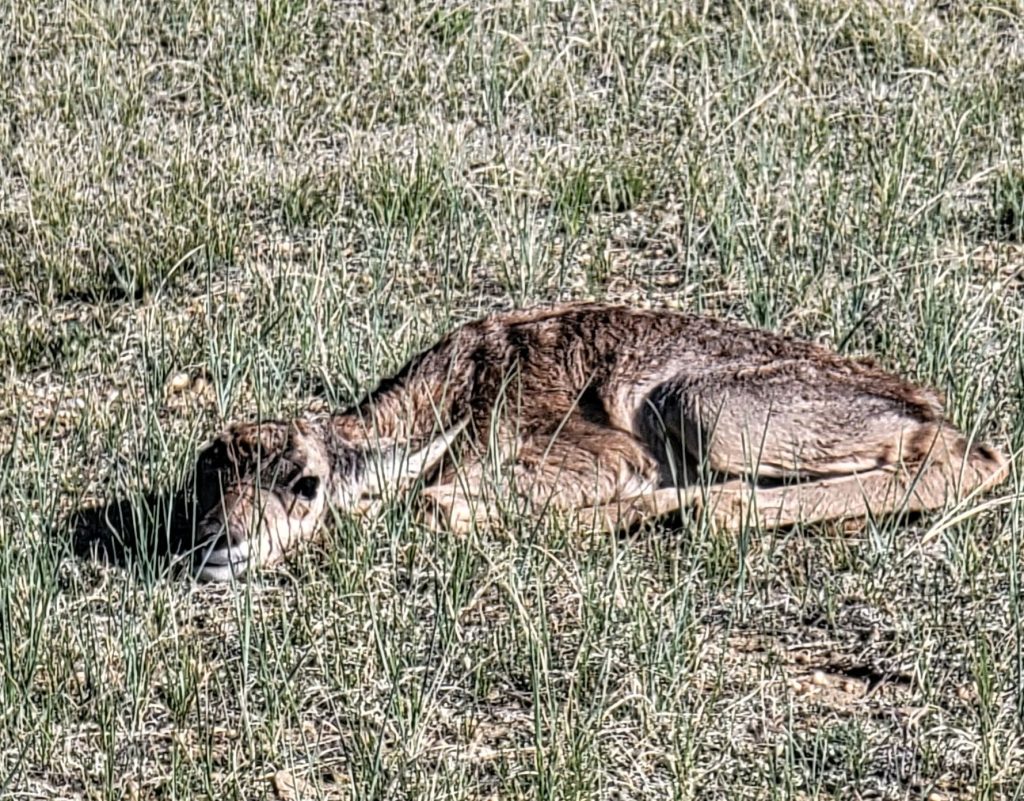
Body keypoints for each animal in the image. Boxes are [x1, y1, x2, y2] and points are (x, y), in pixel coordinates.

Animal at [190, 303, 1007, 581]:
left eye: (305, 482)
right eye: (205, 484)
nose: (220, 542)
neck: (454, 397)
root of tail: (921, 395)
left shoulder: (596, 455)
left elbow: (436, 503)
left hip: (703, 405)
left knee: (968, 460)